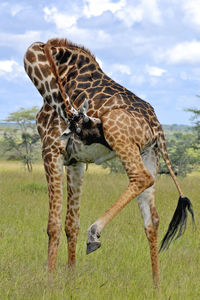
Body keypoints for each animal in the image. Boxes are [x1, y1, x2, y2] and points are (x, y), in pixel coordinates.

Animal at [23, 37, 194, 286]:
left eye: (85, 127)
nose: (75, 133)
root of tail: (157, 126)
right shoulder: (75, 161)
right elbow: (71, 223)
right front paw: (71, 280)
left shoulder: (51, 150)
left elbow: (53, 225)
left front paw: (50, 283)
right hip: (149, 153)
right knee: (152, 219)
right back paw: (156, 286)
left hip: (122, 140)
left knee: (141, 178)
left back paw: (94, 234)